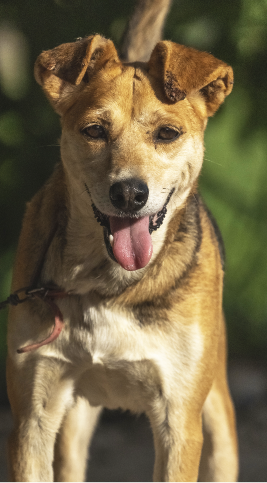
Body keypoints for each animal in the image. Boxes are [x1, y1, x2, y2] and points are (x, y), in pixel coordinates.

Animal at [6, 0, 239, 482]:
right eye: (94, 130)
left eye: (167, 134)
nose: (129, 194)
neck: (107, 285)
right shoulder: (32, 416)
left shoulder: (179, 422)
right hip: (72, 424)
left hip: (218, 419)